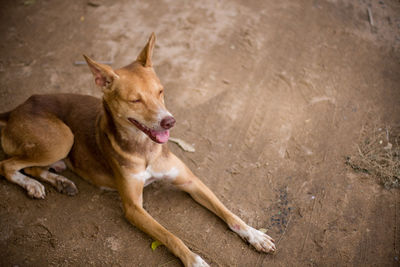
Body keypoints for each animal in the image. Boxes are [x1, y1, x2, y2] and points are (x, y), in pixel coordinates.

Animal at [0, 32, 276, 266]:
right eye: (135, 100)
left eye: (161, 91)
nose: (170, 121)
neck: (146, 149)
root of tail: (15, 109)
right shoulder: (134, 208)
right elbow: (170, 236)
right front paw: (195, 260)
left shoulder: (191, 181)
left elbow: (228, 213)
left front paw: (255, 235)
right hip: (63, 139)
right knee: (8, 165)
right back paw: (33, 185)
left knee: (32, 166)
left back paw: (59, 181)